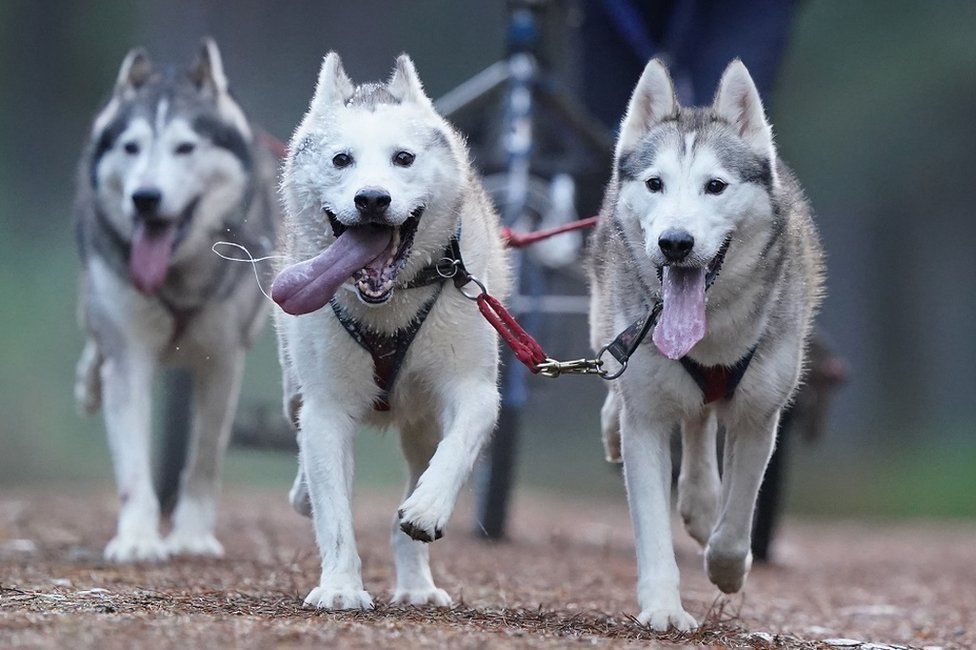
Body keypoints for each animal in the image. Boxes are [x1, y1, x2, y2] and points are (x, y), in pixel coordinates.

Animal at [75, 39, 278, 560]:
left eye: (185, 147)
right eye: (131, 147)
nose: (145, 197)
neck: (177, 276)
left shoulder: (223, 361)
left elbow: (204, 459)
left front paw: (191, 535)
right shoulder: (129, 355)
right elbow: (132, 464)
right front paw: (138, 538)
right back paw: (88, 382)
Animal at [270, 54, 508, 608]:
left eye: (403, 158)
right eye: (341, 160)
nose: (373, 199)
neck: (391, 302)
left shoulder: (473, 387)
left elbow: (457, 447)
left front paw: (428, 508)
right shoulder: (326, 409)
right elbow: (335, 513)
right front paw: (340, 587)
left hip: (422, 422)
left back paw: (417, 582)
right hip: (295, 388)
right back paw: (304, 494)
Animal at [588, 58, 824, 624]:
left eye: (715, 186)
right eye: (656, 183)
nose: (675, 243)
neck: (709, 339)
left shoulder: (760, 414)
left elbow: (737, 522)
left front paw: (727, 568)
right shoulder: (647, 418)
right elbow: (651, 526)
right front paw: (663, 608)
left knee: (700, 423)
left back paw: (700, 502)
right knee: (635, 395)